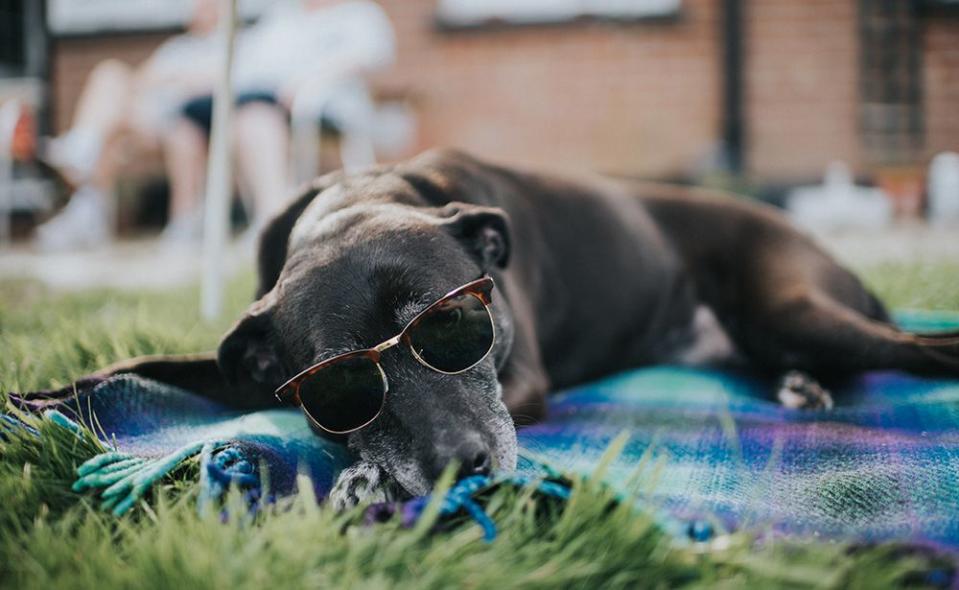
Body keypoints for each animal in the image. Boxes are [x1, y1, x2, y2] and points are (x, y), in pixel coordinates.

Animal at [39, 149, 959, 508]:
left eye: (452, 327)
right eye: (341, 383)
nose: (460, 467)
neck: (355, 201)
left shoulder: (523, 380)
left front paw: (365, 482)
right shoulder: (246, 360)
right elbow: (151, 360)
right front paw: (48, 396)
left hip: (790, 305)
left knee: (920, 350)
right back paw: (799, 386)